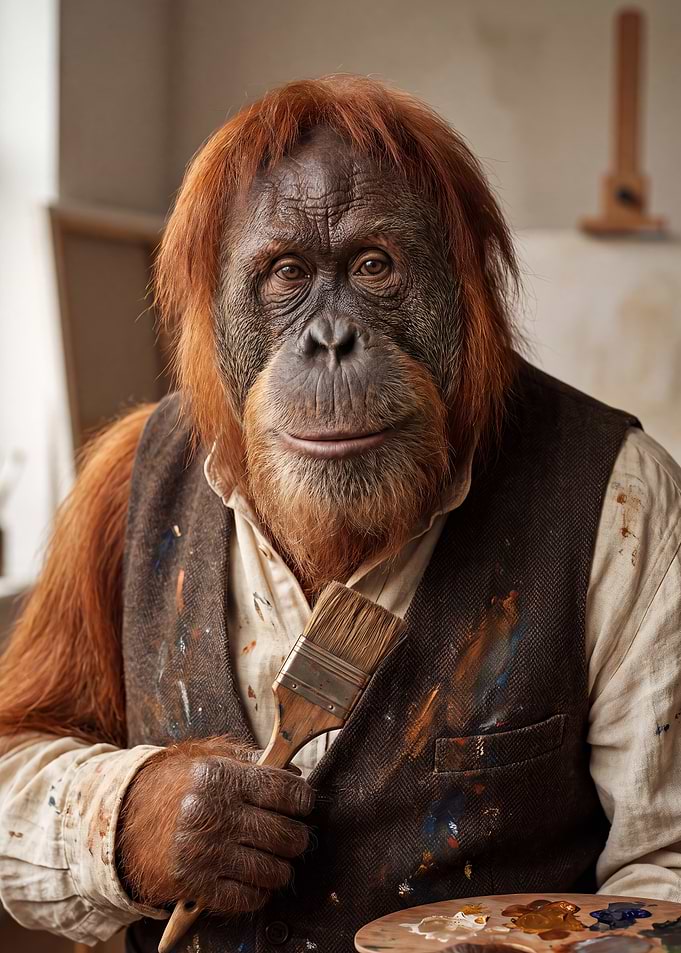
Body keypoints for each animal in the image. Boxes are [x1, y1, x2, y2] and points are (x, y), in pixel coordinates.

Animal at [2, 75, 679, 953]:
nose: (329, 338)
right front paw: (194, 821)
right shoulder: (115, 483)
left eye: (371, 265)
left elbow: (651, 856)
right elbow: (32, 732)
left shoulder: (651, 507)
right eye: (288, 272)